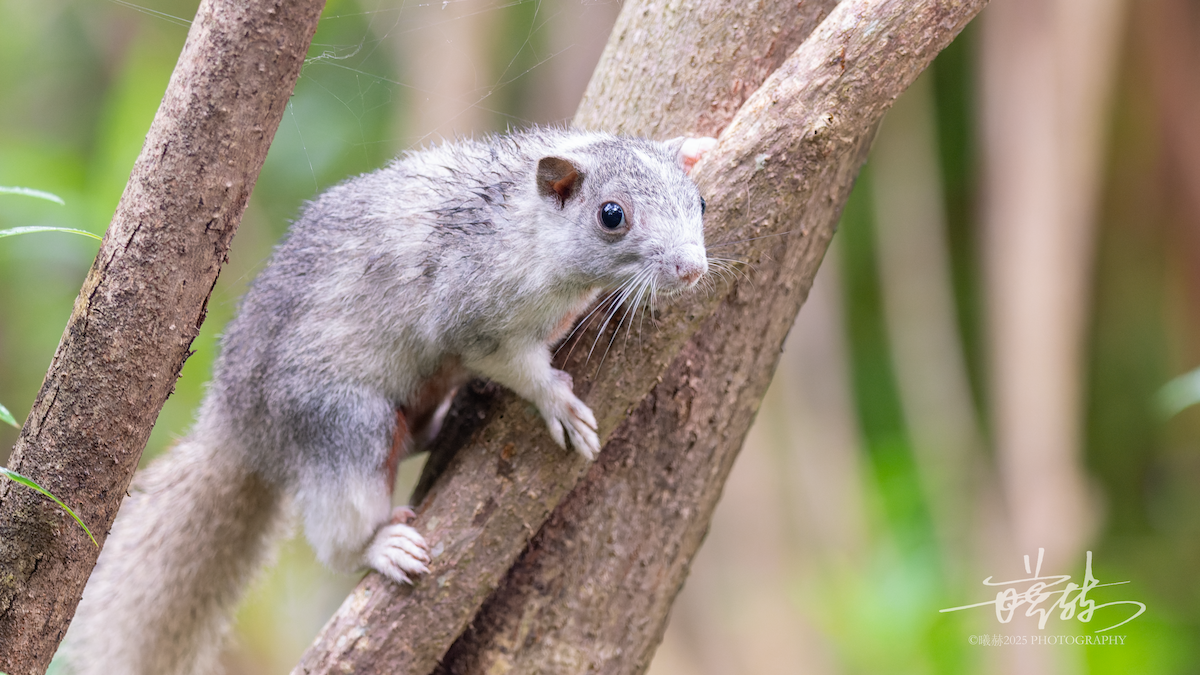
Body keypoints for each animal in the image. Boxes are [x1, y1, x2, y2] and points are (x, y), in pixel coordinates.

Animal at [63, 127, 717, 675]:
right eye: (612, 215)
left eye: (701, 204)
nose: (691, 270)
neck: (522, 223)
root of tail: (238, 428)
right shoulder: (471, 314)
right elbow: (515, 363)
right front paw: (557, 403)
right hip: (346, 420)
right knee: (338, 532)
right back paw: (380, 546)